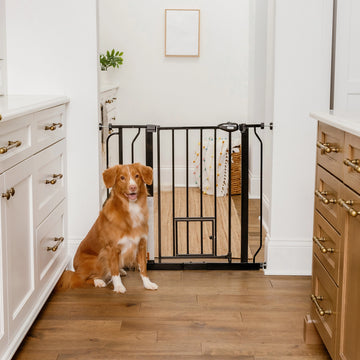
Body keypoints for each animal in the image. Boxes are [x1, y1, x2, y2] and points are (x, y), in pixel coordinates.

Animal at [56, 163, 158, 292]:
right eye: (122, 178)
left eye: (137, 176)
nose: (133, 187)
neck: (131, 209)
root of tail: (75, 269)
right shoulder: (111, 248)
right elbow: (114, 270)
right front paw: (119, 286)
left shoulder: (141, 244)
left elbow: (143, 267)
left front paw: (148, 284)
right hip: (97, 259)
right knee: (79, 278)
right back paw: (99, 281)